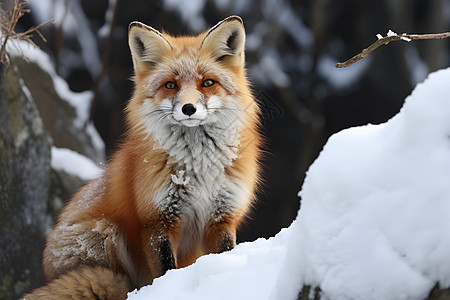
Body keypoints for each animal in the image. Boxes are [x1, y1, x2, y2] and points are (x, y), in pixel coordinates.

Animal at [22, 15, 262, 298]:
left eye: (207, 83)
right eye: (170, 85)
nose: (188, 108)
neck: (198, 168)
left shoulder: (222, 217)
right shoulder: (157, 220)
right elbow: (166, 269)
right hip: (106, 234)